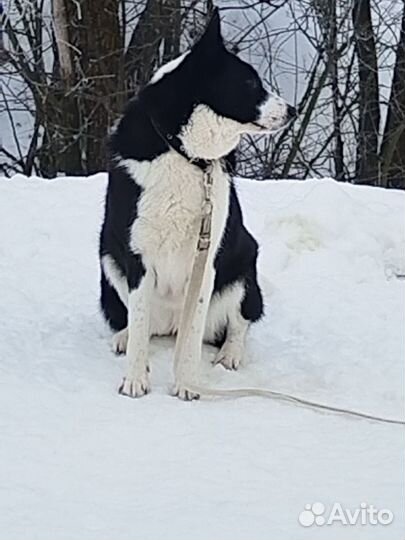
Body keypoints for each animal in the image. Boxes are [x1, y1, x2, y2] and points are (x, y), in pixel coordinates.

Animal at [98, 6, 294, 398]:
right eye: (250, 83)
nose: (292, 110)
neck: (184, 154)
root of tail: (169, 323)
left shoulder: (207, 261)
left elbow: (192, 340)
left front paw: (186, 385)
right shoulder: (136, 256)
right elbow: (139, 326)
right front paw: (135, 380)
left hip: (243, 266)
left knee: (239, 322)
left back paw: (230, 354)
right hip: (107, 258)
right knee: (140, 324)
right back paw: (125, 336)